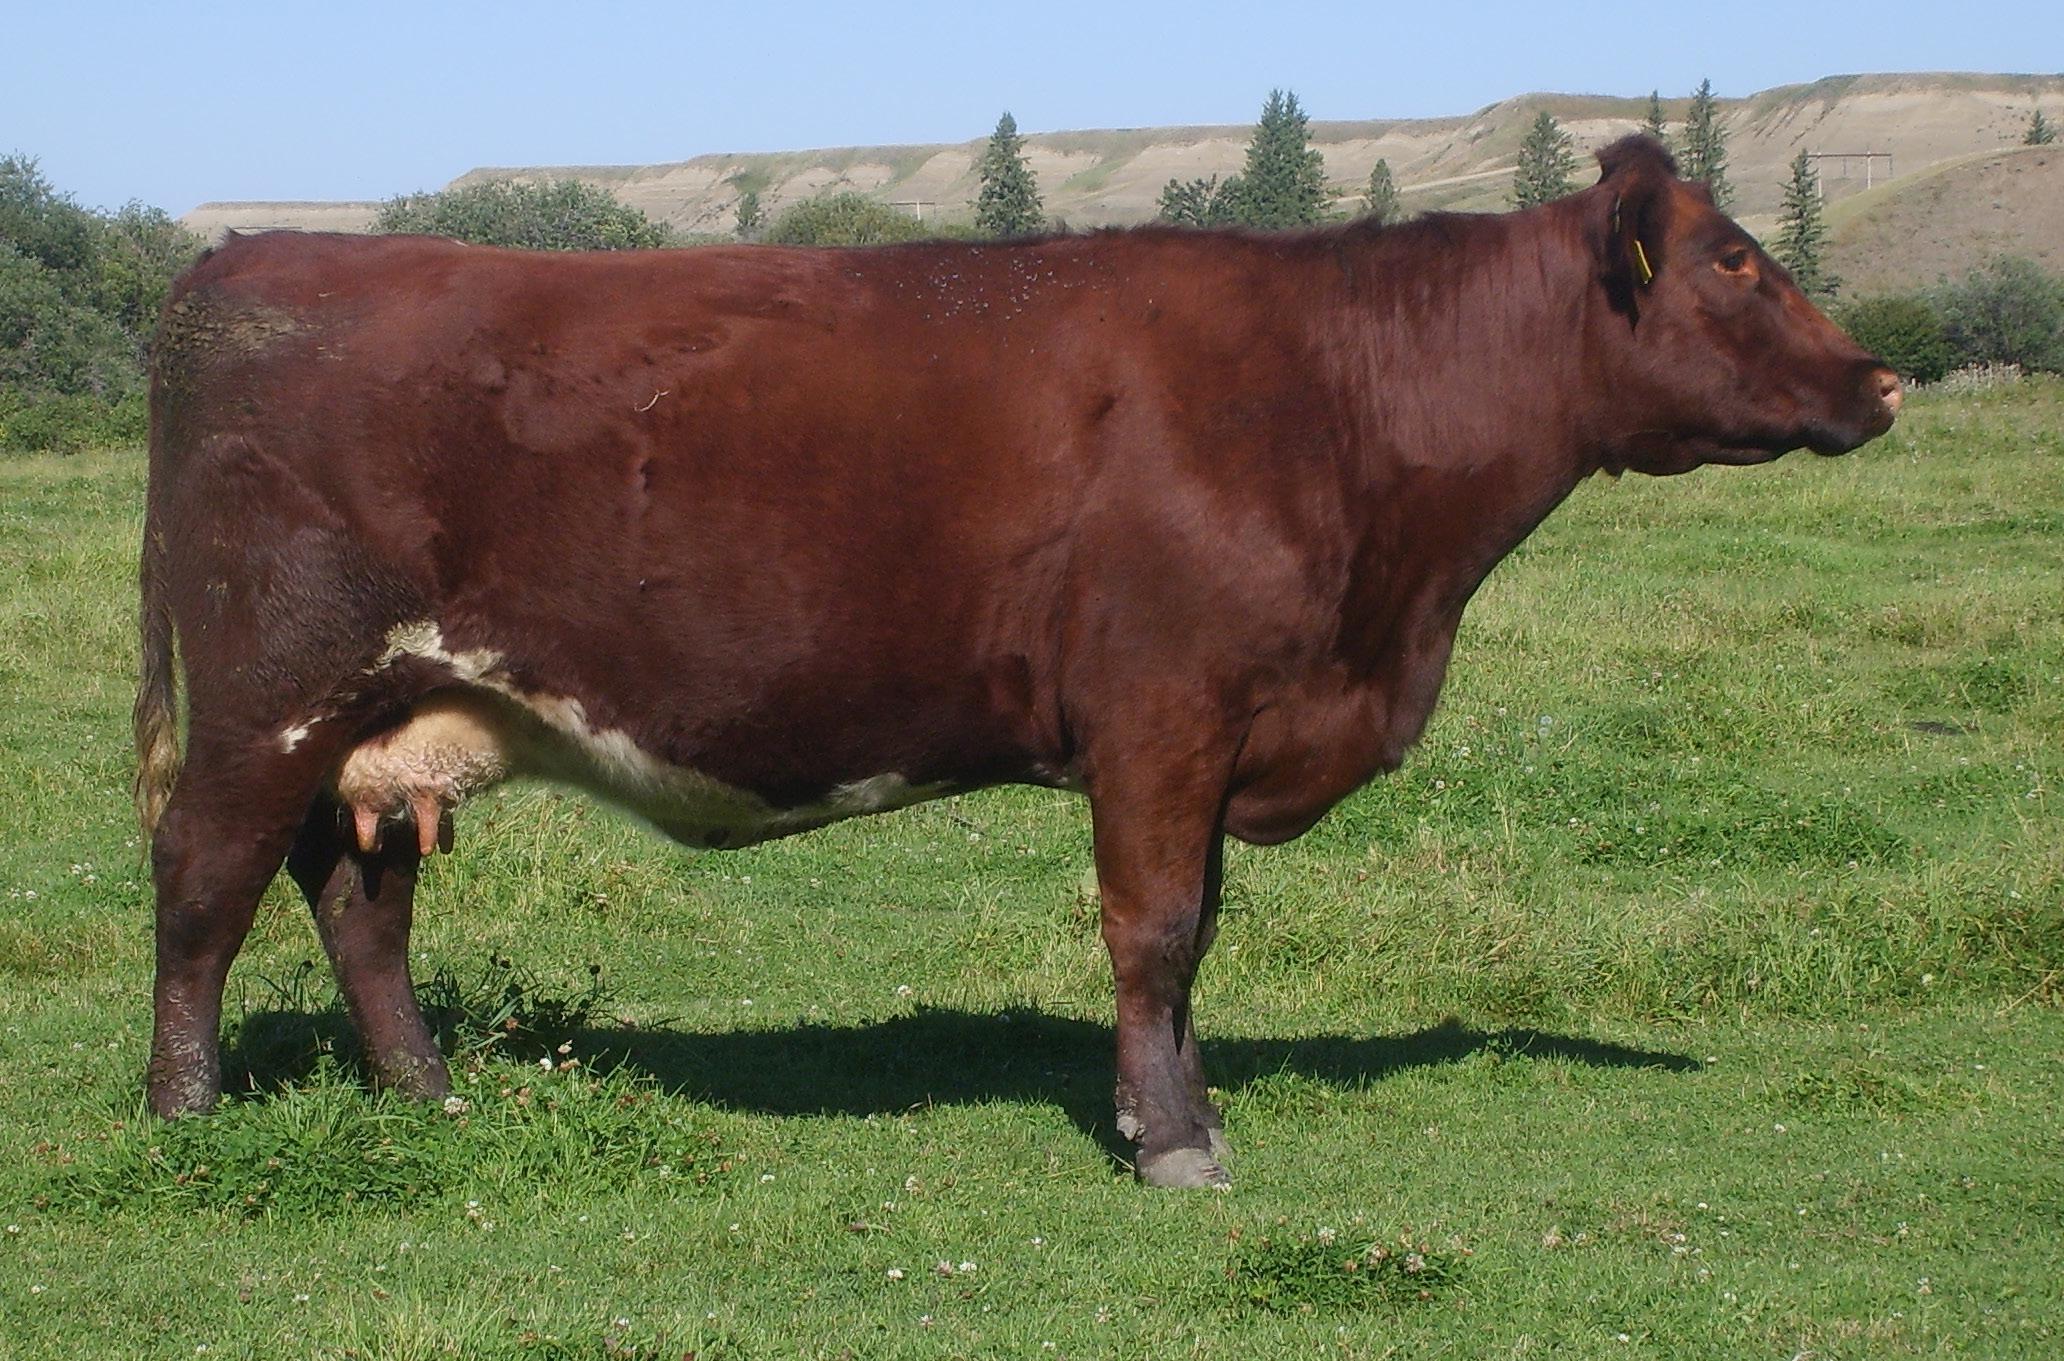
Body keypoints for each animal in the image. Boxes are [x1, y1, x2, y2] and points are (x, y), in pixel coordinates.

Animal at [133, 137, 1900, 1187]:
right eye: (1735, 262)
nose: (1883, 381)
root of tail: (245, 264)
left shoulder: (1214, 732)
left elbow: (1197, 939)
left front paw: (1179, 1108)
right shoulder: (1165, 714)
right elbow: (1156, 932)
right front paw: (1172, 1146)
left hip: (391, 712)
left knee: (359, 897)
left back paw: (424, 1094)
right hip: (266, 698)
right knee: (205, 884)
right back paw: (182, 1113)